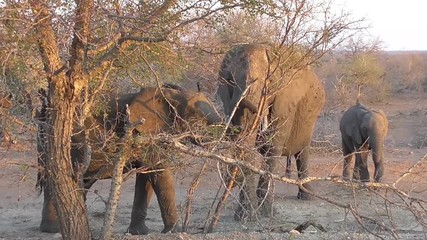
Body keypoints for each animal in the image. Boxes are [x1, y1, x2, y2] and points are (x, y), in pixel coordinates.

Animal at [37, 84, 222, 234]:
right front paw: (173, 232)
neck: (171, 95)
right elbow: (160, 173)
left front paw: (139, 232)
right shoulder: (143, 132)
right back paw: (52, 229)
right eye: (197, 117)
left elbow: (146, 178)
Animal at [216, 44, 326, 220]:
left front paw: (267, 214)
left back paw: (307, 197)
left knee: (302, 152)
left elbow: (272, 147)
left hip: (310, 119)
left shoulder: (284, 101)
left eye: (268, 83)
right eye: (231, 79)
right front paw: (245, 217)